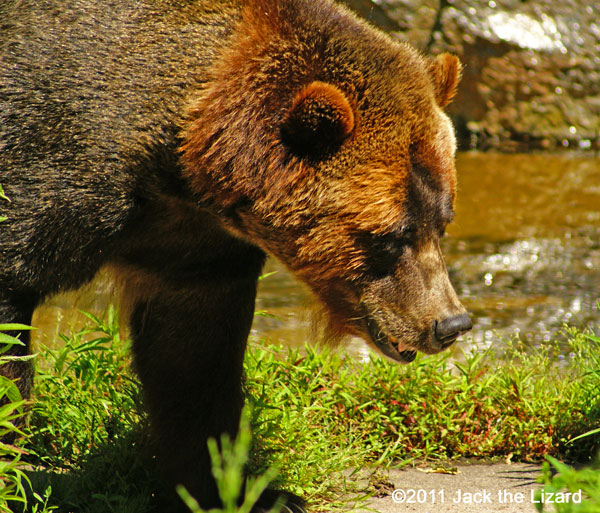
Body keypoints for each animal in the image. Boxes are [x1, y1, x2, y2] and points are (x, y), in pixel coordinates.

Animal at [0, 0, 472, 510]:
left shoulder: (195, 248)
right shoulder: (51, 155)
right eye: (390, 235)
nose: (450, 323)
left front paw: (246, 491)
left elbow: (193, 358)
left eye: (442, 222)